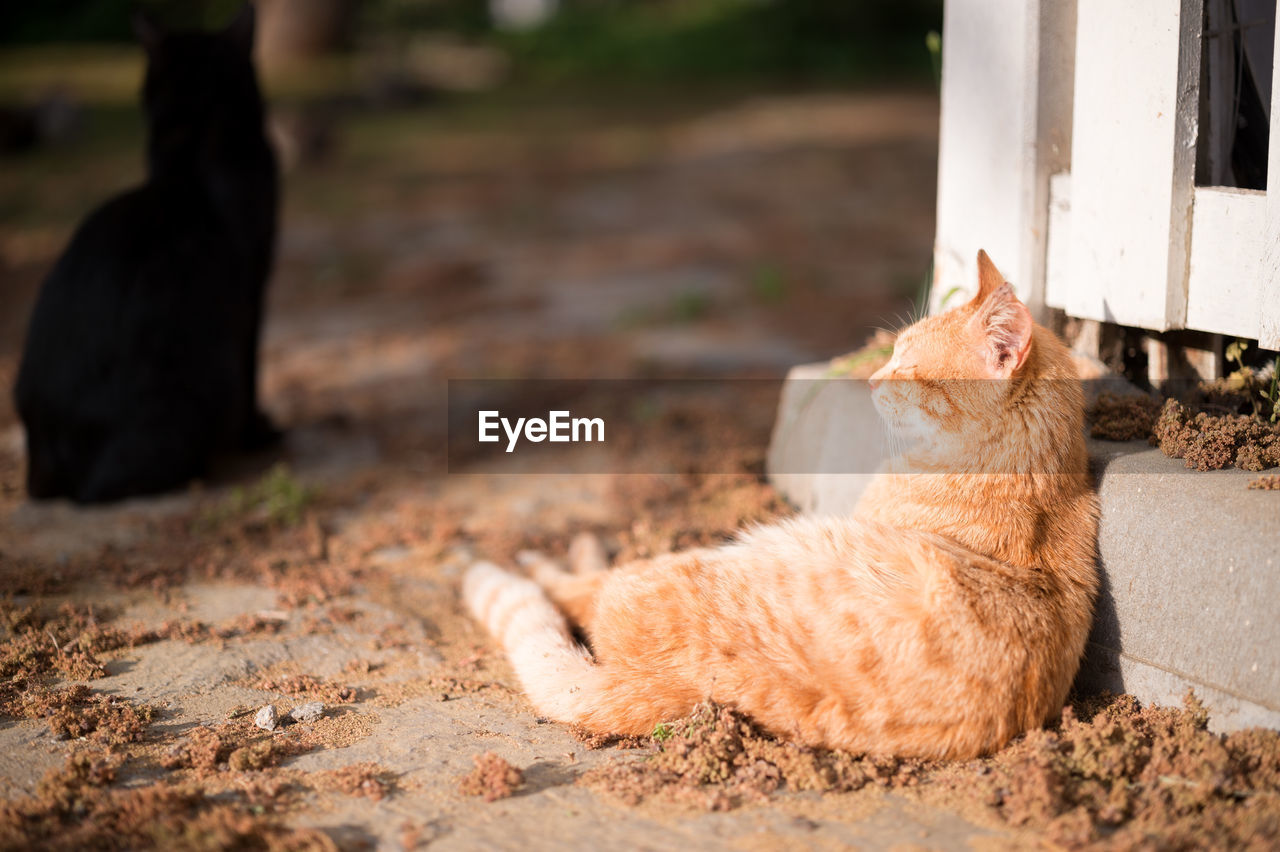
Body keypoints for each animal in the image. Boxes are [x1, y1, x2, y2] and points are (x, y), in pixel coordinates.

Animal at [463, 252, 1100, 757]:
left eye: (909, 369)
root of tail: (688, 687)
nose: (871, 379)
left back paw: (566, 555)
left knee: (580, 590)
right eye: (891, 352)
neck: (1033, 473)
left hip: (709, 556)